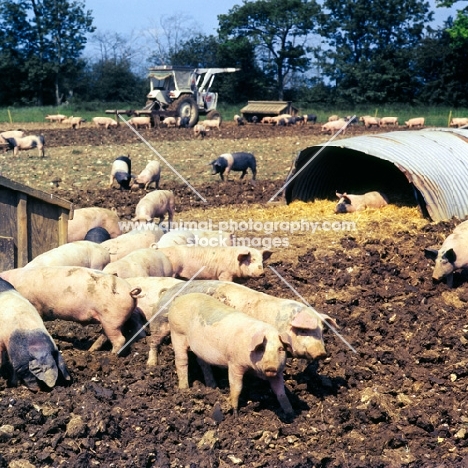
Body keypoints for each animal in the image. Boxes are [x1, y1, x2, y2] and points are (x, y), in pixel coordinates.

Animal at [0, 266, 143, 352]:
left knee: (119, 339)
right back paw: (91, 350)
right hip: (110, 321)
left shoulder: (35, 305)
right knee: (106, 335)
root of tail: (130, 292)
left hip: (111, 318)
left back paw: (112, 355)